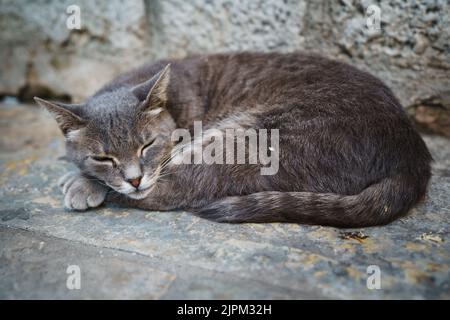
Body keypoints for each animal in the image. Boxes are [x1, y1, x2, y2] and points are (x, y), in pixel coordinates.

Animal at [35, 51, 432, 228]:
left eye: (146, 146)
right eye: (104, 157)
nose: (134, 178)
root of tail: (413, 155)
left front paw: (81, 182)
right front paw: (81, 173)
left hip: (244, 138)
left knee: (179, 191)